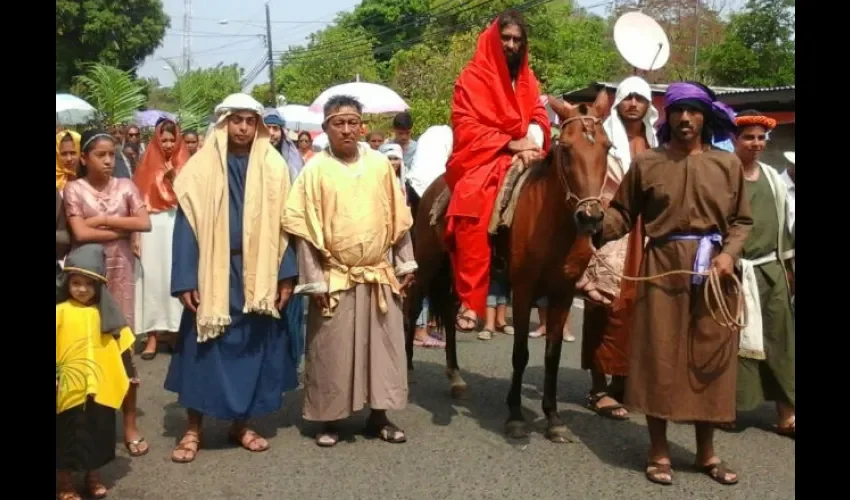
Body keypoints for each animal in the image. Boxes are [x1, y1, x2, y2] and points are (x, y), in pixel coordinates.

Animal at [404, 89, 608, 442]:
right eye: (567, 149)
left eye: (607, 147)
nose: (590, 217)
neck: (553, 225)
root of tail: (433, 187)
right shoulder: (524, 289)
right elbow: (521, 353)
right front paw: (515, 416)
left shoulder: (564, 292)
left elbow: (552, 355)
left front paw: (553, 418)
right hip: (428, 263)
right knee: (413, 303)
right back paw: (407, 371)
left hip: (459, 270)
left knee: (449, 310)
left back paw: (456, 378)